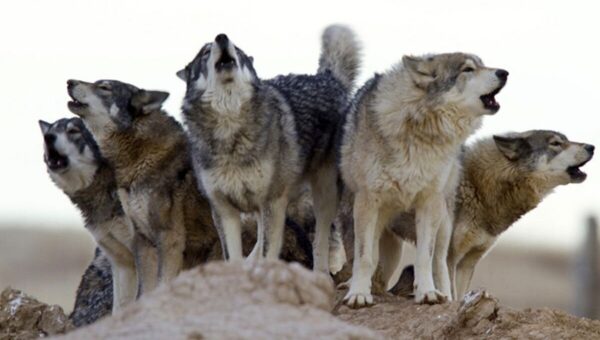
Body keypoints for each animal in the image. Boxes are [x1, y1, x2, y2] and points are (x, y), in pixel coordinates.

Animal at [67, 79, 223, 294]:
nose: (69, 82)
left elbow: (162, 283)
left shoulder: (169, 238)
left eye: (104, 87)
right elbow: (144, 292)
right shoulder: (143, 241)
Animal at [178, 24, 360, 274]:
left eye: (238, 49)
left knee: (320, 241)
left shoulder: (271, 202)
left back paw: (321, 273)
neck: (229, 128)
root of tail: (327, 78)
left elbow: (268, 252)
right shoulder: (224, 210)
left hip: (323, 195)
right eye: (205, 52)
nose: (222, 38)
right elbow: (233, 257)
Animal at [338, 52, 506, 306]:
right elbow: (364, 257)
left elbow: (424, 259)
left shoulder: (428, 203)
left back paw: (445, 297)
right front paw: (358, 294)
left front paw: (427, 293)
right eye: (468, 69)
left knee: (441, 263)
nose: (504, 72)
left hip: (444, 221)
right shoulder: (367, 201)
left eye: (482, 64)